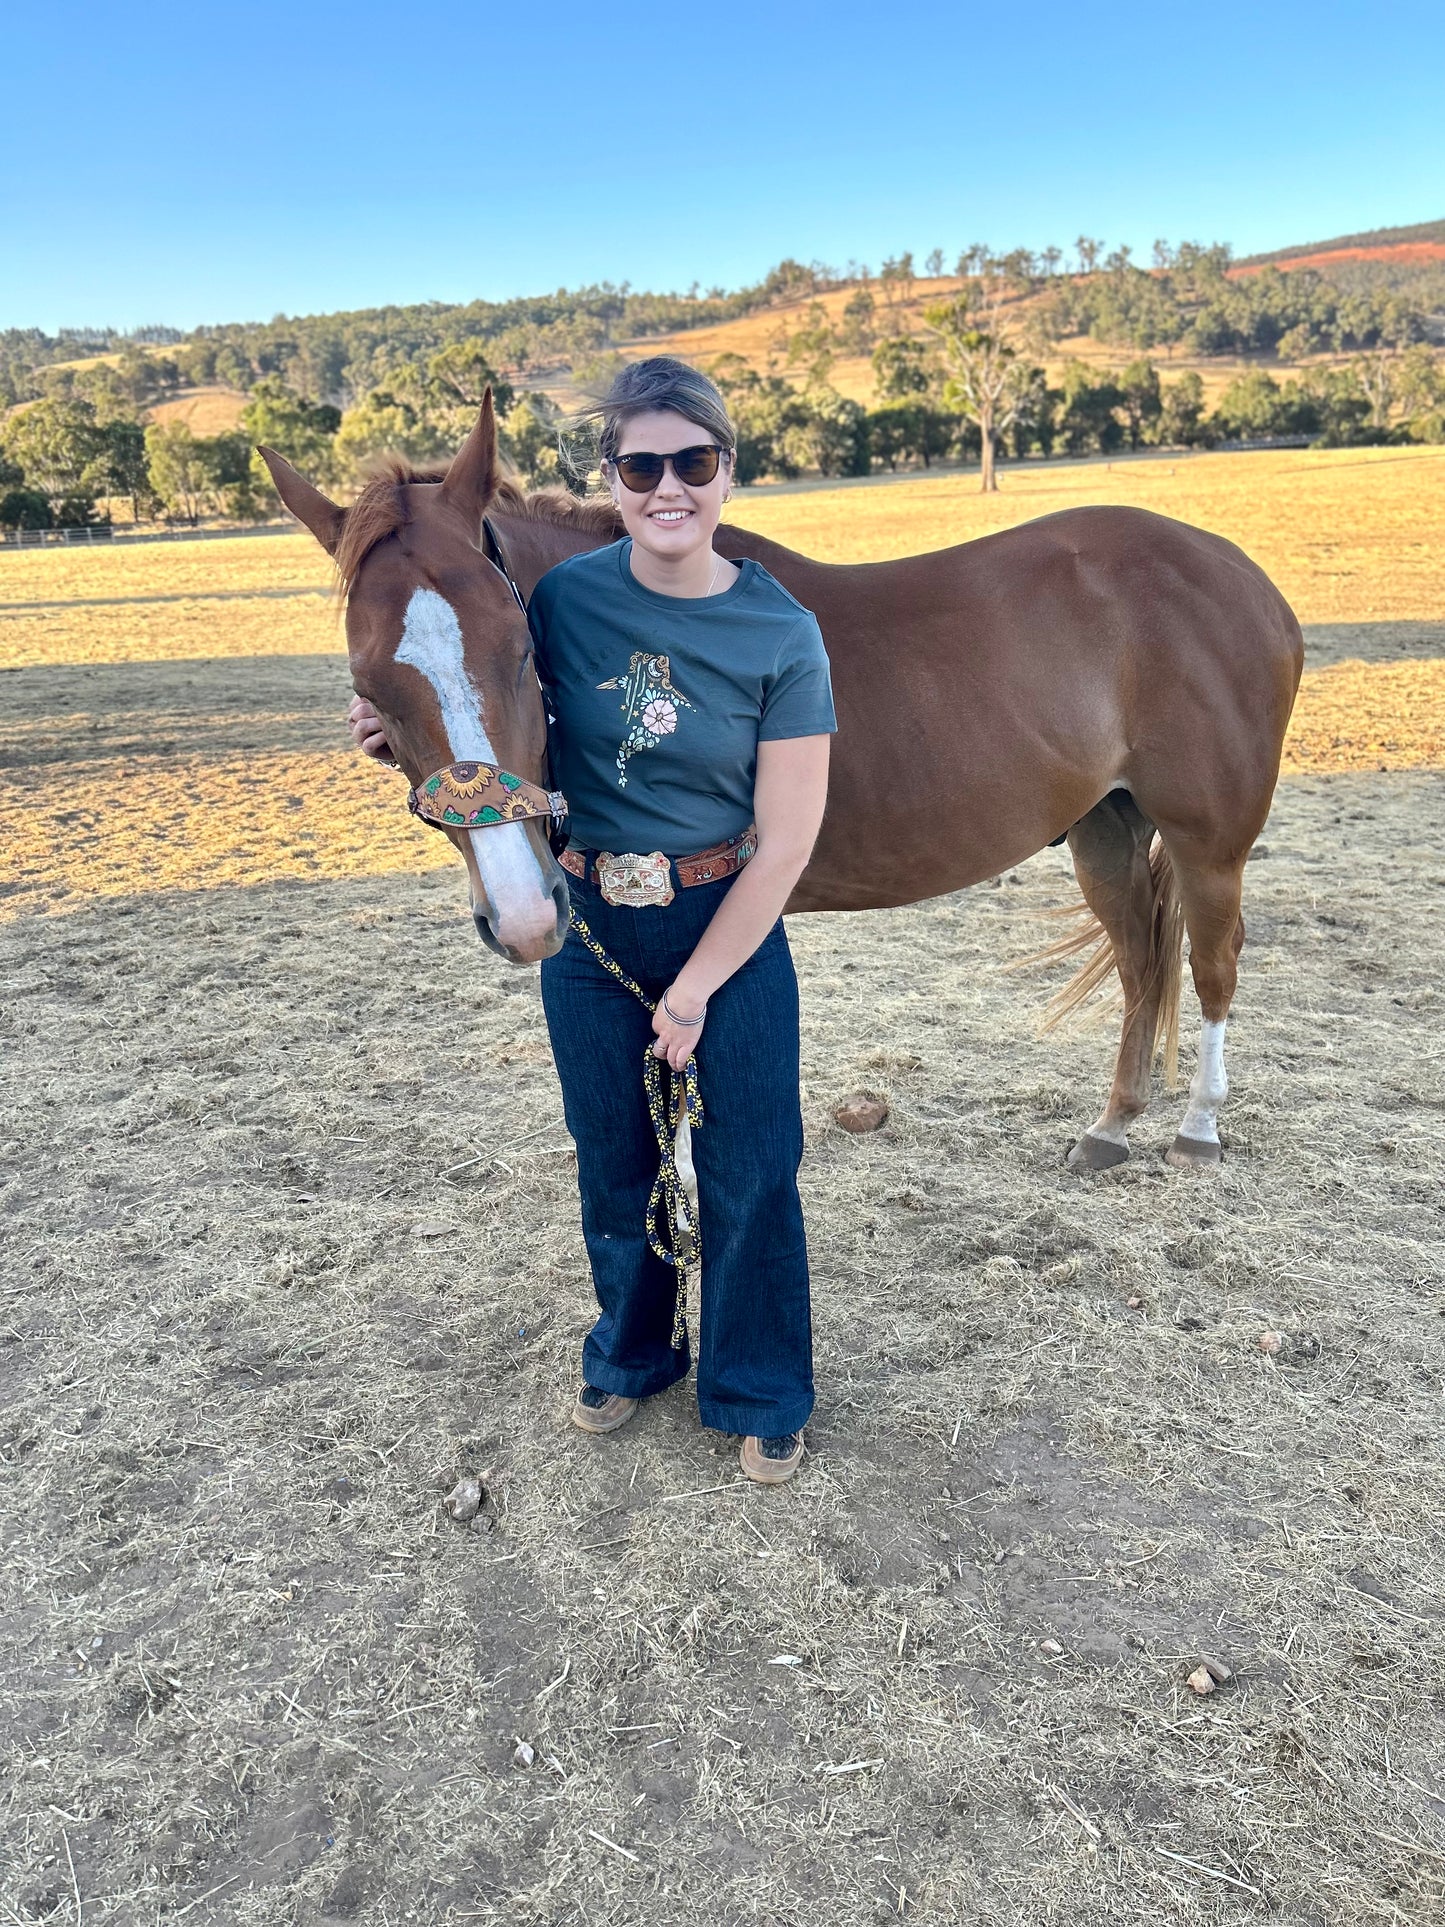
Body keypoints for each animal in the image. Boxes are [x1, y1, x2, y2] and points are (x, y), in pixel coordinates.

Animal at [258, 398, 1302, 1163]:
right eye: (370, 691)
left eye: (522, 651)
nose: (522, 918)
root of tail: (1245, 577)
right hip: (1104, 829)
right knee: (1138, 960)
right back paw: (1113, 1124)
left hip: (1208, 845)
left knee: (1211, 964)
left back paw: (1197, 1127)